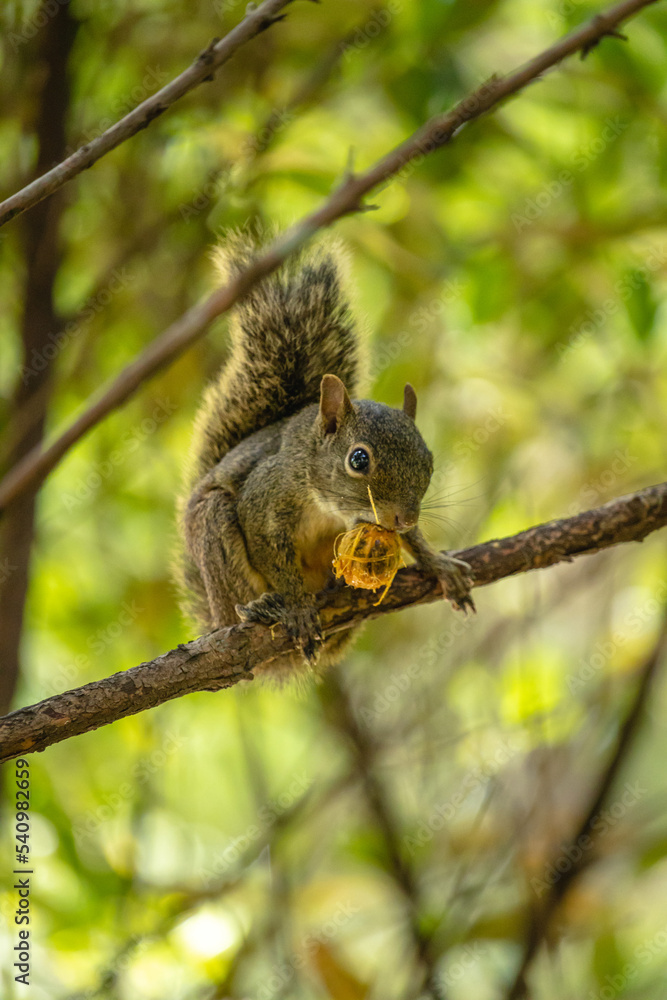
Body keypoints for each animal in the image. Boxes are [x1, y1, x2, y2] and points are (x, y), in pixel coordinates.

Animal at [178, 234, 474, 679]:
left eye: (429, 462)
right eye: (358, 460)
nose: (404, 518)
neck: (327, 507)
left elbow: (415, 545)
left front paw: (437, 563)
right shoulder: (264, 498)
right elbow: (271, 553)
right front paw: (298, 606)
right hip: (215, 538)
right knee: (235, 603)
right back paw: (260, 609)